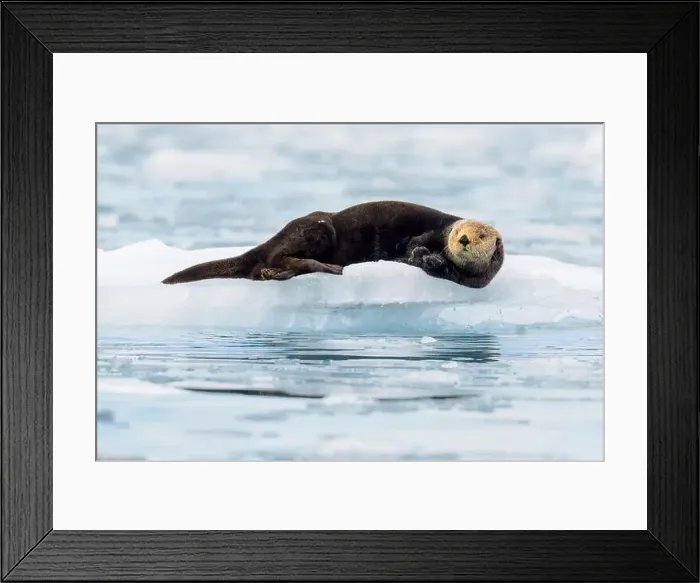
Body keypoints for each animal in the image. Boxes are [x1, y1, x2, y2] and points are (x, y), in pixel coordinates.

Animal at [161, 201, 504, 289]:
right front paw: (419, 254)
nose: (462, 239)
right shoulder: (433, 231)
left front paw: (429, 260)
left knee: (262, 269)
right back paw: (327, 267)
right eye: (459, 230)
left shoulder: (472, 280)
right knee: (278, 257)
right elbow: (414, 243)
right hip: (319, 229)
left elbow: (446, 271)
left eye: (481, 235)